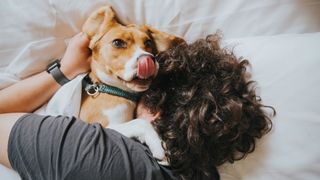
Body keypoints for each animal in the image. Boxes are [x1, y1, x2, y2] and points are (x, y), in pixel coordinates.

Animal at [78, 5, 184, 160]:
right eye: (118, 42)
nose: (148, 60)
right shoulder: (100, 125)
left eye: (148, 42)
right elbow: (140, 122)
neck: (113, 90)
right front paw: (159, 145)